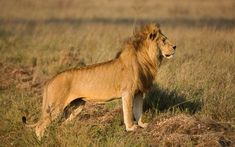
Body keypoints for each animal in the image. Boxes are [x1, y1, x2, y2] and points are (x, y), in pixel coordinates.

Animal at [22, 23, 176, 140]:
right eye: (163, 41)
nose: (175, 47)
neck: (147, 59)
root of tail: (51, 79)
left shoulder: (139, 92)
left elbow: (138, 111)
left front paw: (142, 125)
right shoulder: (127, 92)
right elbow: (128, 111)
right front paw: (131, 128)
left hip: (78, 106)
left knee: (62, 124)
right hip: (55, 106)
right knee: (39, 126)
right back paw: (41, 141)